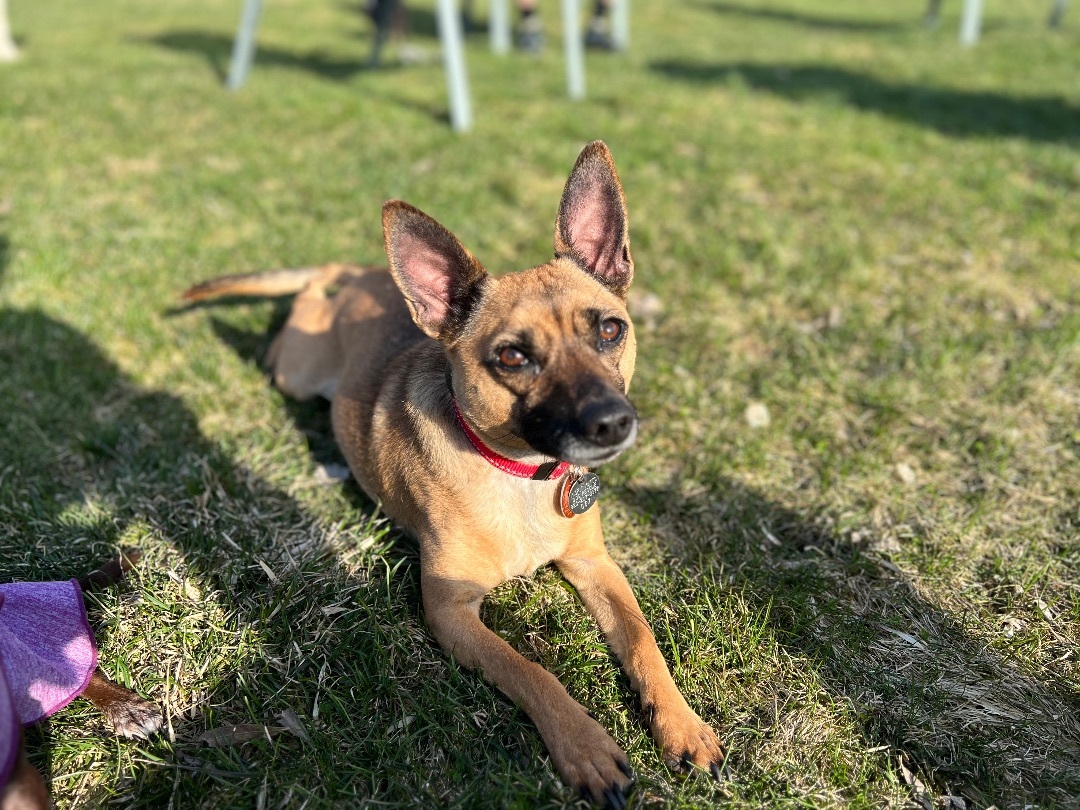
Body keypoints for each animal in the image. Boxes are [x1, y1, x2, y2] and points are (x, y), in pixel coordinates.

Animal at [183, 142, 725, 807]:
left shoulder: (595, 566)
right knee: (309, 292)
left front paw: (680, 723)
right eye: (512, 356)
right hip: (294, 372)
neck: (519, 473)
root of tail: (367, 275)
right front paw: (587, 747)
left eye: (609, 329)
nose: (613, 422)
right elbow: (532, 671)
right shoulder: (451, 613)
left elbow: (644, 640)